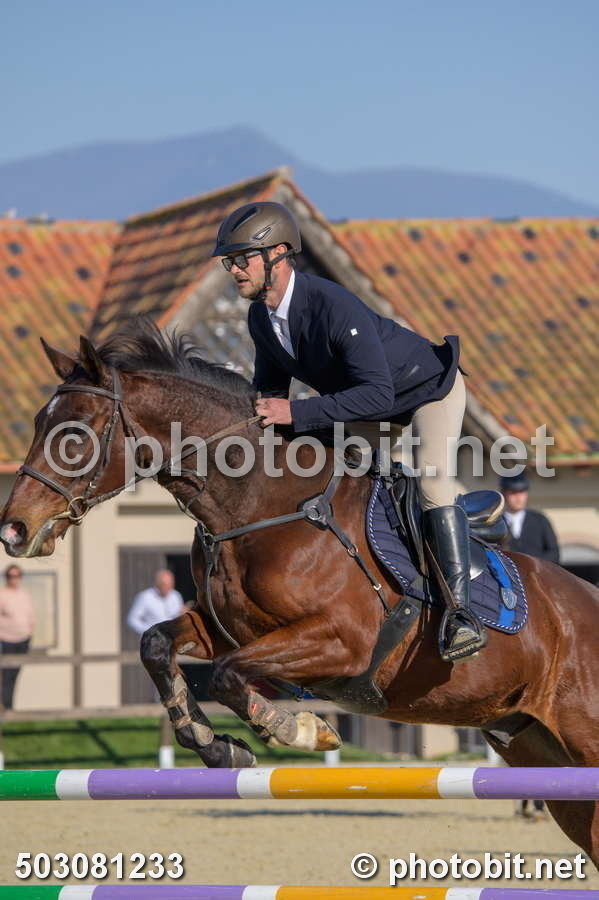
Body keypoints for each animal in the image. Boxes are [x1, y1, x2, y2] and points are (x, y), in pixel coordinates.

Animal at [2, 321, 599, 865]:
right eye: (38, 424)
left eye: (76, 433)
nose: (13, 531)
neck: (257, 505)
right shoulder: (226, 629)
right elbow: (157, 645)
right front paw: (221, 749)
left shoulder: (341, 643)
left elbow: (230, 676)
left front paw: (305, 730)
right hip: (545, 756)